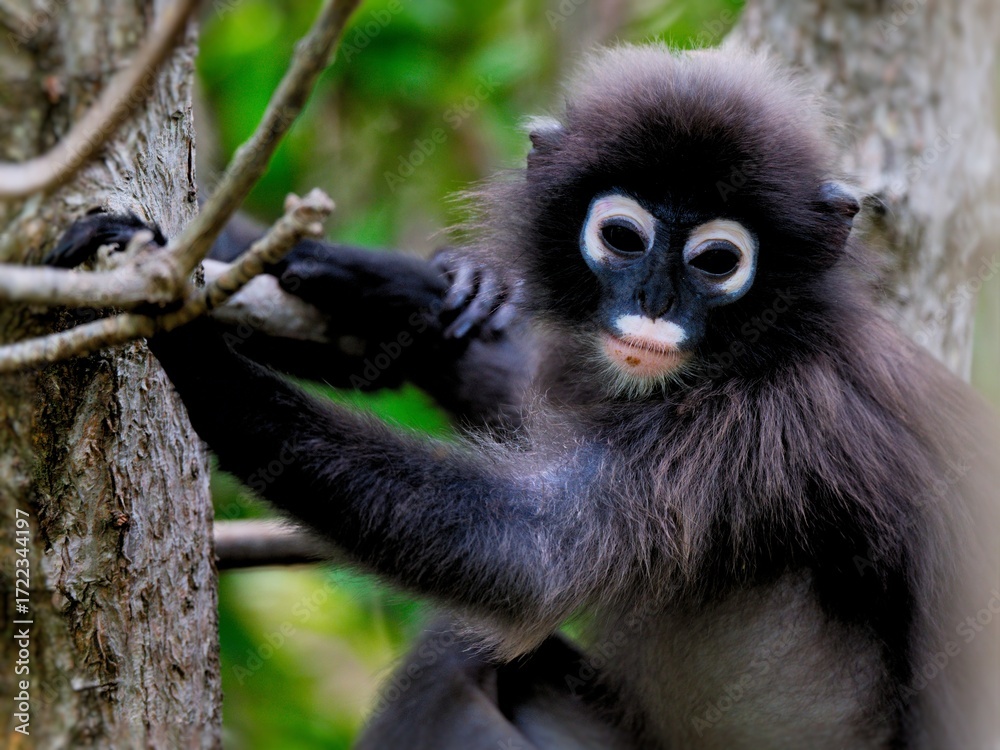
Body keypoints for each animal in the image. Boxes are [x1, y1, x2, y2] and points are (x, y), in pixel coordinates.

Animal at [49, 45, 999, 749]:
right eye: (623, 237)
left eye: (718, 260)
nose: (655, 304)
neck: (757, 344)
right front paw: (404, 294)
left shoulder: (776, 423)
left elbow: (529, 551)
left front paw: (185, 337)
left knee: (455, 653)